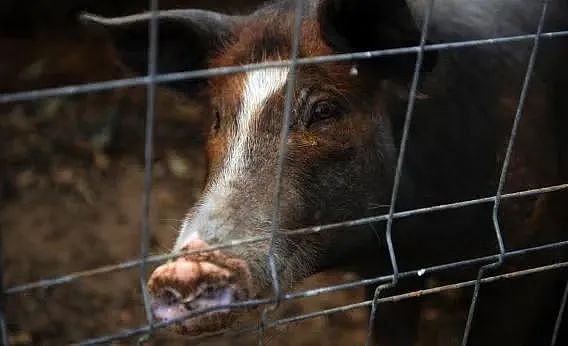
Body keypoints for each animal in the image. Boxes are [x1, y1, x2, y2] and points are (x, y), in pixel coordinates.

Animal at [80, 0, 568, 344]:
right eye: (218, 118)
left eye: (325, 110)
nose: (184, 268)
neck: (418, 245)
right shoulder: (387, 277)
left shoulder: (528, 256)